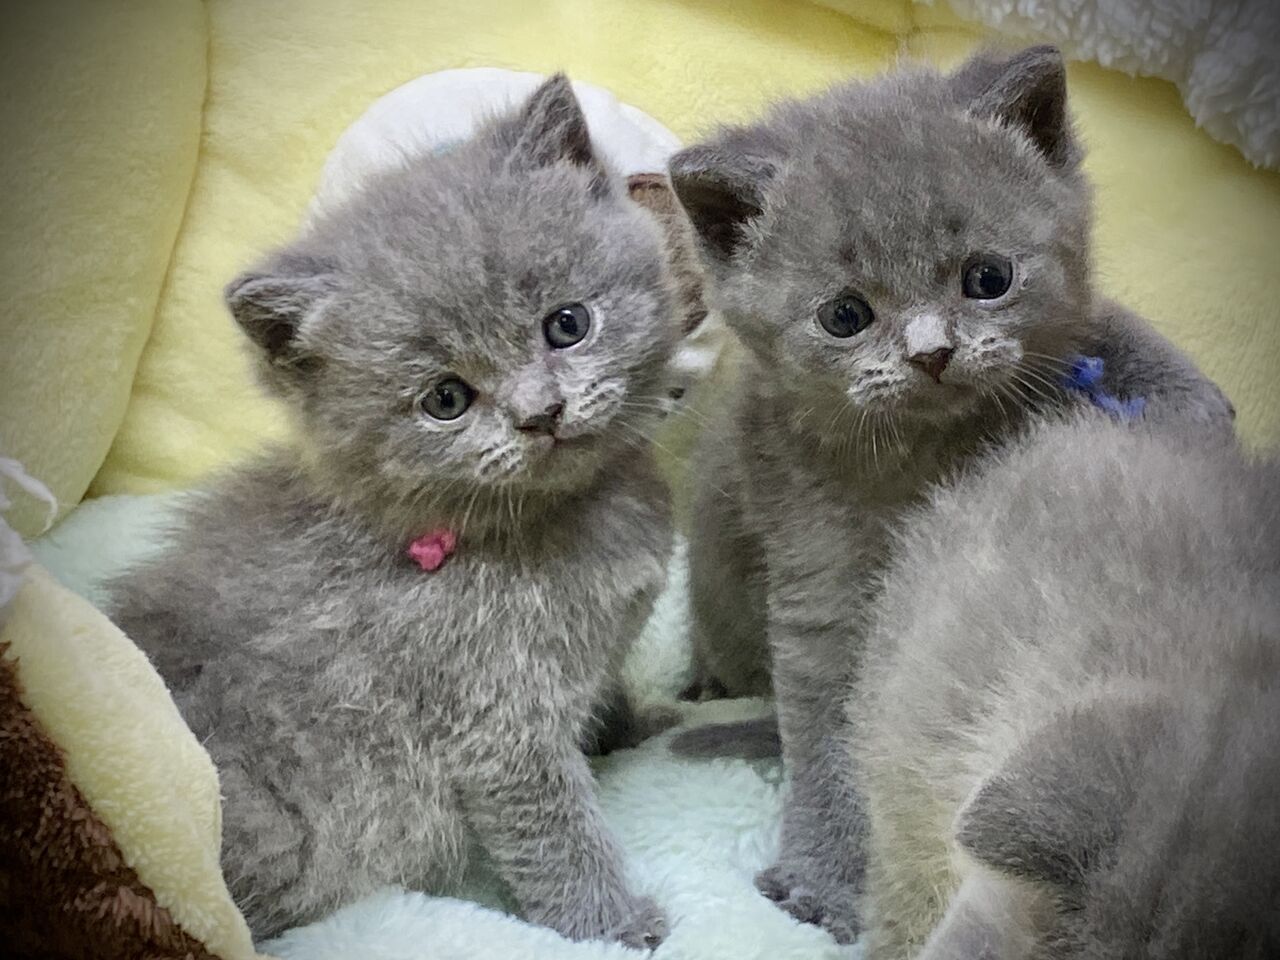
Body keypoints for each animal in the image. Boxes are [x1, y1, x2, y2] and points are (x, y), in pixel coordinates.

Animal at [107, 75, 702, 945]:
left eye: (567, 324)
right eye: (445, 400)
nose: (540, 413)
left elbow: (603, 700)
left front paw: (639, 725)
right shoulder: (494, 716)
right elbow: (553, 829)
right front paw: (616, 925)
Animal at [665, 46, 1235, 942]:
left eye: (988, 278)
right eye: (845, 315)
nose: (931, 352)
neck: (933, 452)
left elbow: (1101, 329)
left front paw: (1185, 403)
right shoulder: (822, 581)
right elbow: (834, 736)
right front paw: (823, 880)